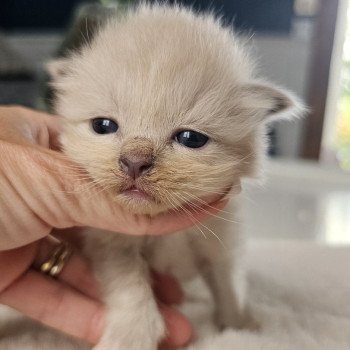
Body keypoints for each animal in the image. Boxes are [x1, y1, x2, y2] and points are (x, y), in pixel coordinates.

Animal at [46, 3, 298, 350]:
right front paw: (130, 337)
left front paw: (240, 328)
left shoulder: (221, 243)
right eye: (103, 126)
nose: (134, 162)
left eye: (191, 138)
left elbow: (228, 286)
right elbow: (131, 290)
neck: (168, 230)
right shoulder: (111, 242)